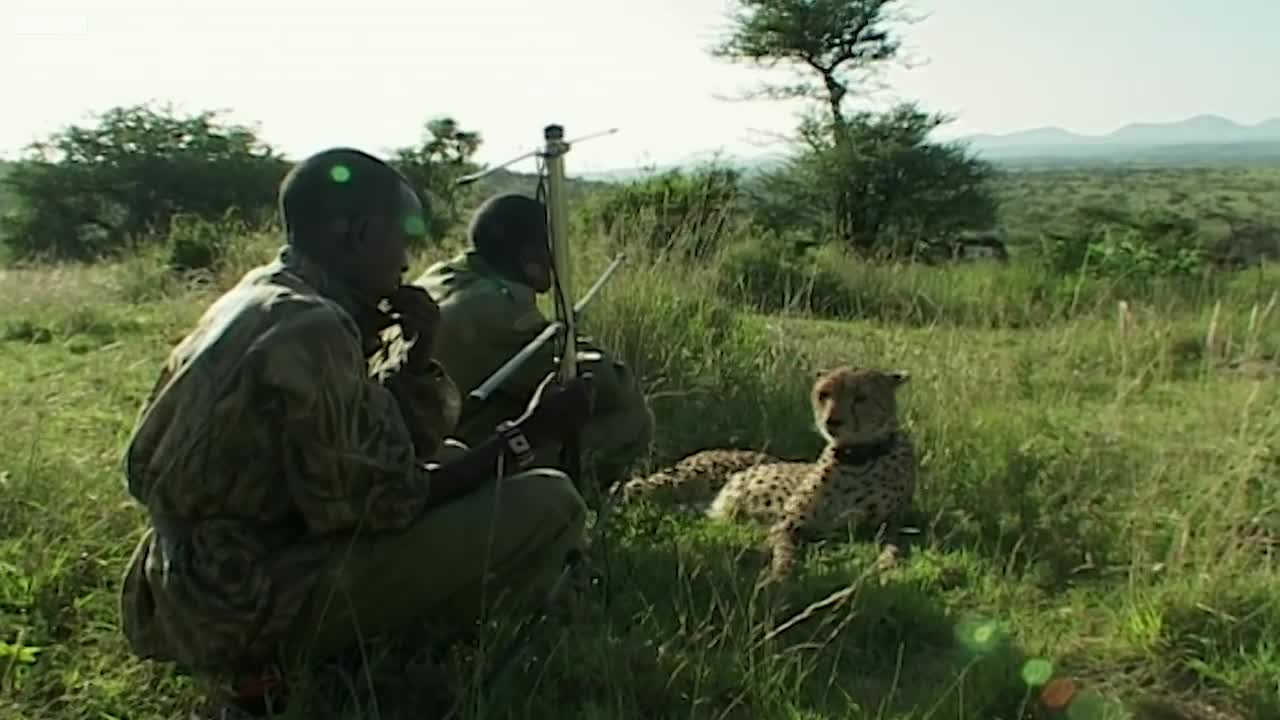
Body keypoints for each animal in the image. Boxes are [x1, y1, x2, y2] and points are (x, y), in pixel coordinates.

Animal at [614, 366, 916, 579]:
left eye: (861, 397)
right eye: (824, 394)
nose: (833, 421)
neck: (857, 457)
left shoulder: (888, 526)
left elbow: (895, 548)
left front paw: (886, 567)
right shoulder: (788, 522)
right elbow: (785, 552)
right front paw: (778, 577)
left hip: (696, 505)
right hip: (679, 481)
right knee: (628, 487)